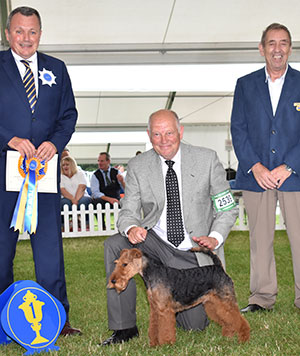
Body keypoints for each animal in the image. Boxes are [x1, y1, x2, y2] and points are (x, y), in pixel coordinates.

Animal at [107, 246, 248, 346]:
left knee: (239, 320)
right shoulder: (155, 309)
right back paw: (228, 337)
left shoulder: (164, 310)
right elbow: (154, 327)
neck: (153, 273)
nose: (113, 281)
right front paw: (154, 344)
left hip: (226, 301)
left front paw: (166, 345)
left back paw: (243, 339)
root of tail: (219, 267)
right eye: (117, 263)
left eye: (125, 264)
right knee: (229, 321)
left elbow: (165, 328)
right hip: (214, 304)